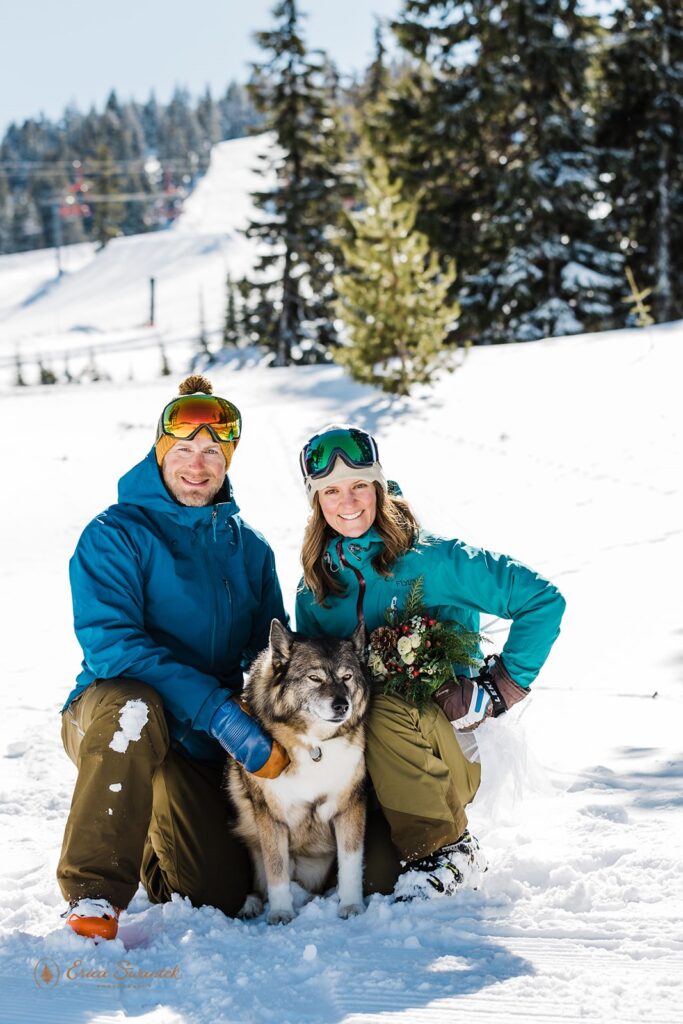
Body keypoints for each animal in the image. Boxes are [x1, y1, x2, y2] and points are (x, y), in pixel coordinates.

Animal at [227, 618, 370, 925]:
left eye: (347, 677)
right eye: (314, 678)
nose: (342, 705)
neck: (315, 746)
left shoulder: (350, 807)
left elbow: (350, 863)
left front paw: (351, 905)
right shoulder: (271, 817)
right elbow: (276, 870)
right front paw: (281, 912)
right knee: (259, 885)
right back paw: (251, 906)